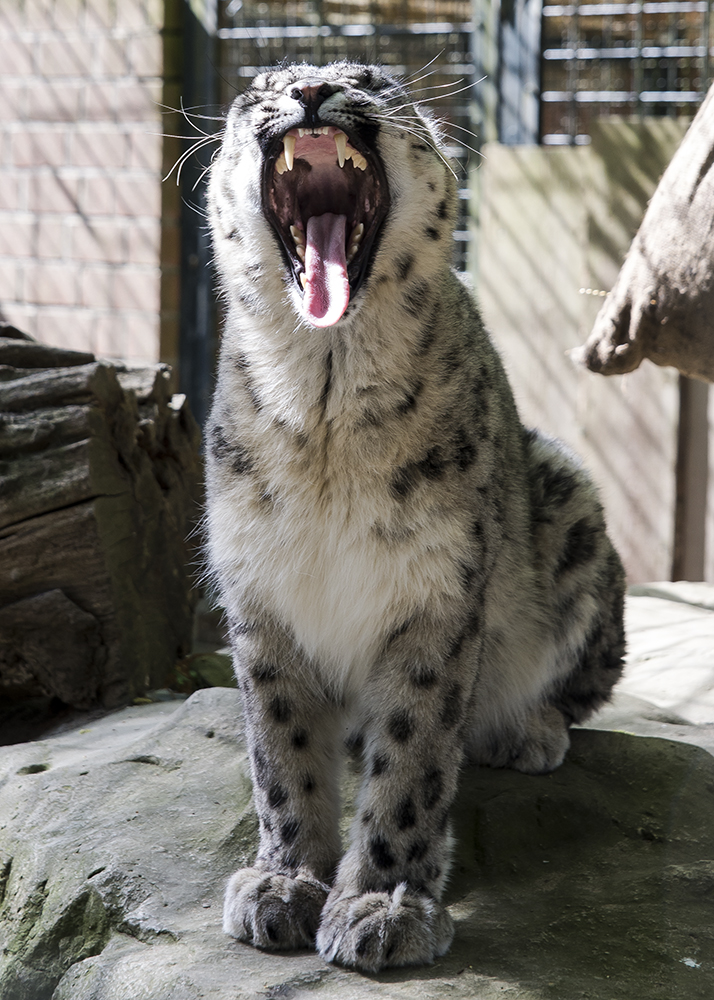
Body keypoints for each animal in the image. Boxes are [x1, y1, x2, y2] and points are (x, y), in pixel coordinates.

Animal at [202, 58, 624, 972]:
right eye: (263, 85)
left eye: (369, 78)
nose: (312, 92)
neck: (323, 402)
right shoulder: (257, 588)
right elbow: (280, 750)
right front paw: (283, 883)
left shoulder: (436, 591)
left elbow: (414, 756)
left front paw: (382, 905)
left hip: (573, 507)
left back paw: (525, 731)